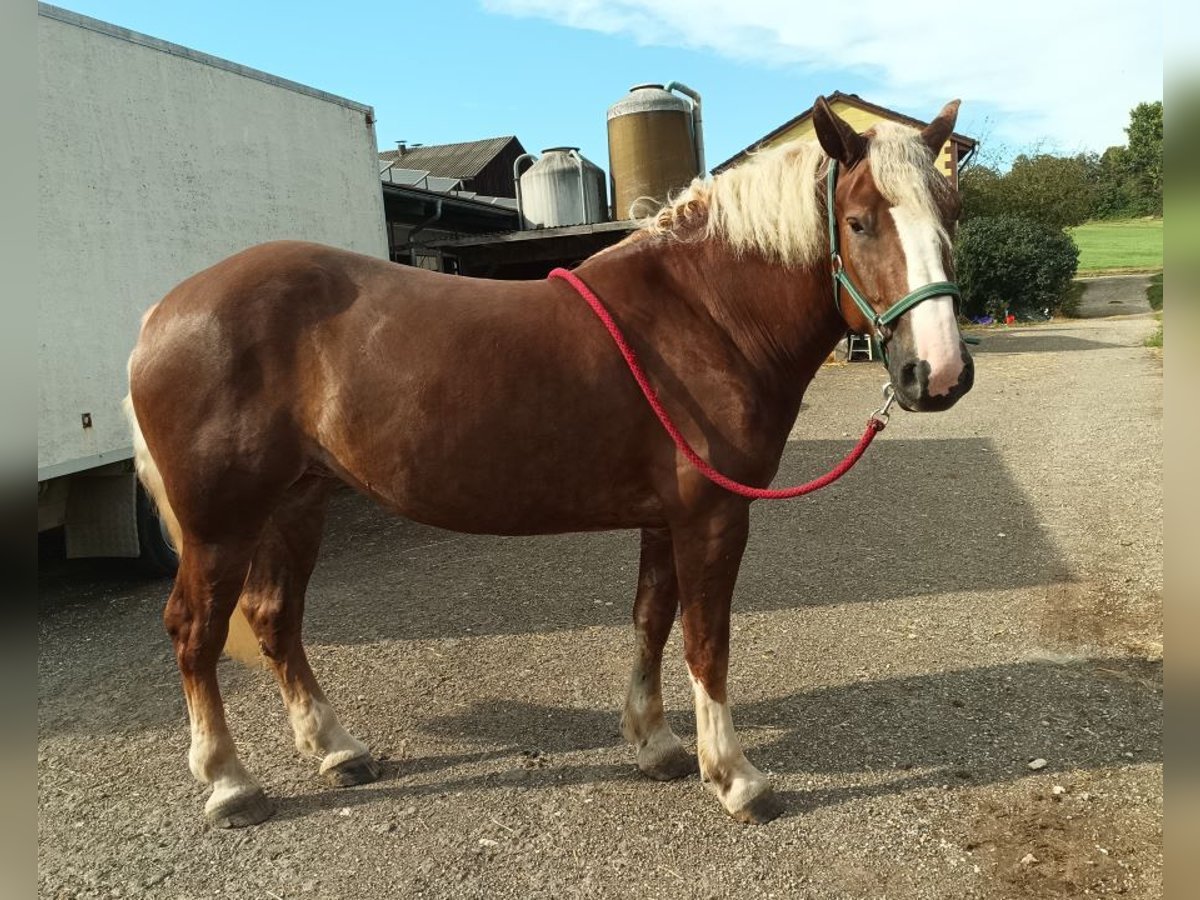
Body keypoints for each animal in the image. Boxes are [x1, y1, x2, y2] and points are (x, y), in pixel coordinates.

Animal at [124, 98, 974, 830]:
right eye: (860, 222)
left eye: (950, 216)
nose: (938, 373)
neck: (700, 315)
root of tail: (162, 313)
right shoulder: (713, 518)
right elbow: (707, 641)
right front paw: (735, 776)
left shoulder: (667, 519)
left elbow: (651, 620)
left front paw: (657, 744)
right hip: (220, 525)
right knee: (194, 630)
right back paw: (231, 784)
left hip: (297, 503)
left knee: (276, 617)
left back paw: (335, 750)